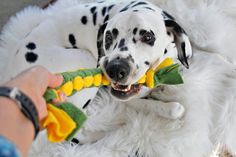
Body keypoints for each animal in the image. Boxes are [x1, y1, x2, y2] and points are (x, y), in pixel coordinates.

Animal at [0, 0, 192, 143]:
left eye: (148, 36)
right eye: (109, 36)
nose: (115, 69)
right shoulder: (122, 97)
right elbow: (173, 108)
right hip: (84, 58)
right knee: (76, 133)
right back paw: (110, 131)